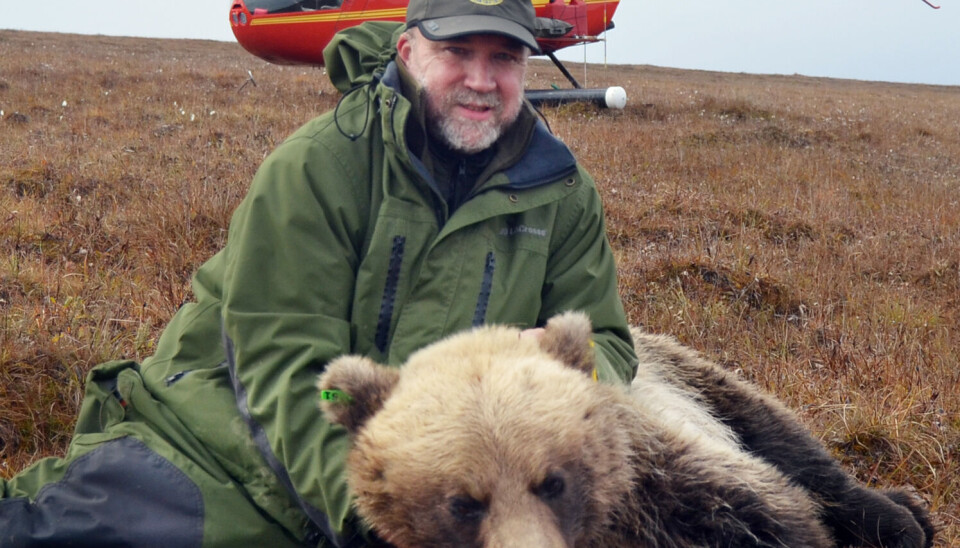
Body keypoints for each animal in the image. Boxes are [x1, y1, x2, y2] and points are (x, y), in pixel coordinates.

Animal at [318, 312, 932, 548]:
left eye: (554, 481)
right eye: (461, 503)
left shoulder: (673, 480)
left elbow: (770, 515)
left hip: (694, 381)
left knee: (791, 447)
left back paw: (905, 516)